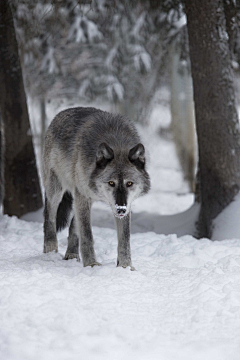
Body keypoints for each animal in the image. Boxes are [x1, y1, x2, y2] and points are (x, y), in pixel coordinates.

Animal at [42, 107, 149, 270]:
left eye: (129, 184)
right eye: (111, 183)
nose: (121, 209)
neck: (117, 142)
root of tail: (60, 114)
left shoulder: (126, 205)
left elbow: (125, 240)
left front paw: (125, 267)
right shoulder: (83, 197)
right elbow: (87, 235)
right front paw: (91, 264)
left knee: (73, 226)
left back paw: (71, 255)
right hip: (57, 191)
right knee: (50, 217)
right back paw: (50, 251)